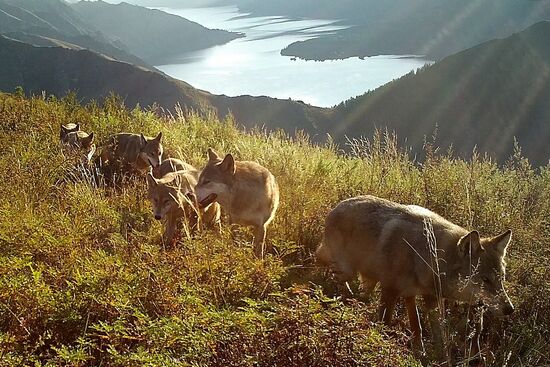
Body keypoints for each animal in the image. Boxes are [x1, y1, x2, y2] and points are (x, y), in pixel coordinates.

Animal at [316, 196, 516, 348]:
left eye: (501, 278)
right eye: (485, 280)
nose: (510, 309)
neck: (426, 256)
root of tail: (336, 206)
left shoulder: (421, 297)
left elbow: (420, 327)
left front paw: (423, 352)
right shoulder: (390, 291)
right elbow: (386, 321)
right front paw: (382, 340)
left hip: (368, 279)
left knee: (360, 293)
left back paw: (355, 302)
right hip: (346, 269)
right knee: (330, 272)